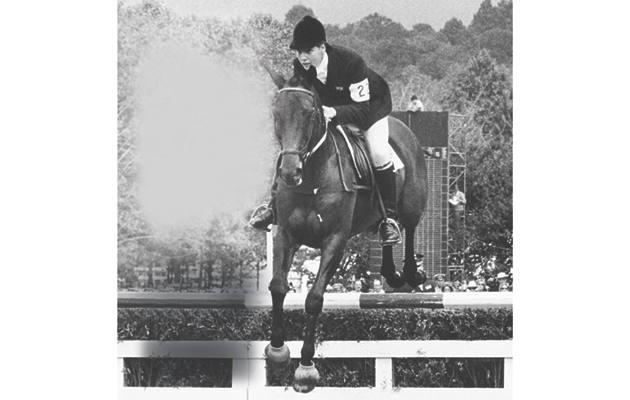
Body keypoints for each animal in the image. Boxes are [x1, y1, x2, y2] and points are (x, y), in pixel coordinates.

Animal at [262, 70, 430, 392]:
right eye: (276, 114)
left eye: (309, 113)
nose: (289, 173)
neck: (312, 178)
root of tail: (404, 128)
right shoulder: (285, 234)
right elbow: (277, 286)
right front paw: (277, 352)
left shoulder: (334, 241)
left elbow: (314, 299)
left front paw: (305, 367)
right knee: (385, 232)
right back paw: (391, 272)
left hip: (413, 203)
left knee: (410, 227)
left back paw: (410, 273)